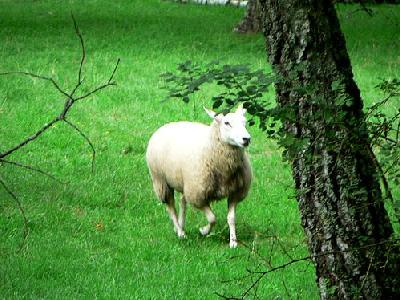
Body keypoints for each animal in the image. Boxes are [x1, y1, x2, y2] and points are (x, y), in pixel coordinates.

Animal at [145, 104, 252, 247]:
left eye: (245, 122)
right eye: (227, 123)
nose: (246, 139)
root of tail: (168, 124)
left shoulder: (235, 193)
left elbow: (231, 218)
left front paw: (233, 242)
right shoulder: (198, 195)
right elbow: (212, 218)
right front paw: (204, 231)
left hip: (184, 183)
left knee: (182, 202)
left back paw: (180, 225)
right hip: (161, 181)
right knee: (170, 207)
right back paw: (180, 233)